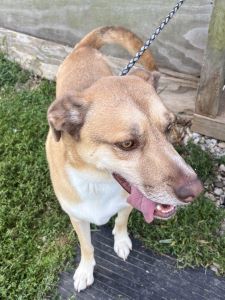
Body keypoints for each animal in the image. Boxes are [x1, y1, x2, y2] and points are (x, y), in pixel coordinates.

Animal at [45, 27, 202, 292]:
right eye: (127, 144)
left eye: (169, 127)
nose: (195, 191)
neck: (96, 182)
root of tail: (85, 47)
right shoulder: (76, 217)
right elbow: (87, 246)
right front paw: (85, 270)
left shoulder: (127, 204)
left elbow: (120, 222)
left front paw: (121, 242)